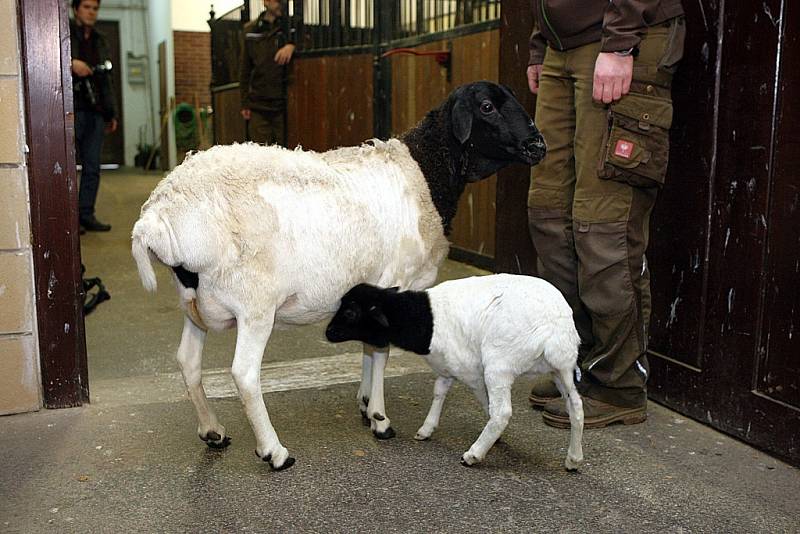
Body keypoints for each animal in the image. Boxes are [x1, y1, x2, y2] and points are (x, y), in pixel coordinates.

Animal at [131, 78, 544, 468]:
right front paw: (380, 419)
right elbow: (380, 350)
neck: (426, 175)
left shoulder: (373, 288)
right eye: (487, 106)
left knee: (188, 362)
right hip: (254, 304)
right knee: (244, 374)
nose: (537, 145)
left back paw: (212, 431)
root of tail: (159, 213)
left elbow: (368, 346)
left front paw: (365, 403)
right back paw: (275, 452)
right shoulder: (394, 281)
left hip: (193, 305)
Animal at [322, 276, 584, 474]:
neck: (424, 320)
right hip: (562, 369)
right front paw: (426, 429)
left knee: (502, 413)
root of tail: (553, 328)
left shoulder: (473, 373)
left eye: (350, 312)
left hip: (499, 364)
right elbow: (439, 392)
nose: (328, 332)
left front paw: (492, 440)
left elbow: (487, 405)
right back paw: (573, 459)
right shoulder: (447, 367)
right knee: (576, 408)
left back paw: (473, 455)